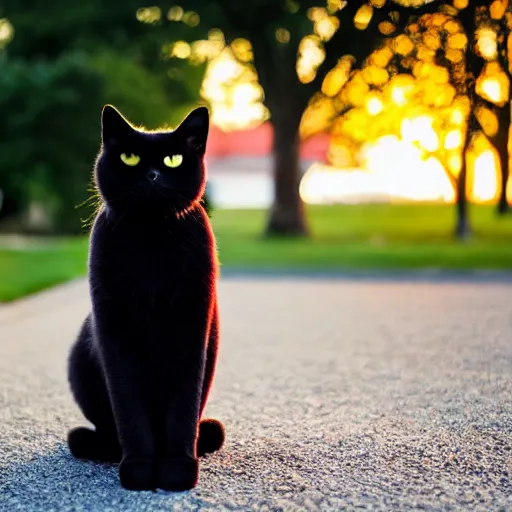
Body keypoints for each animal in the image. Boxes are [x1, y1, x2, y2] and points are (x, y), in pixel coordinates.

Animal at [67, 105, 224, 492]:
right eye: (129, 157)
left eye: (173, 160)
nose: (152, 175)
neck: (151, 236)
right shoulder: (114, 330)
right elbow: (130, 407)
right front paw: (139, 469)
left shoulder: (192, 327)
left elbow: (182, 409)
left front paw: (177, 470)